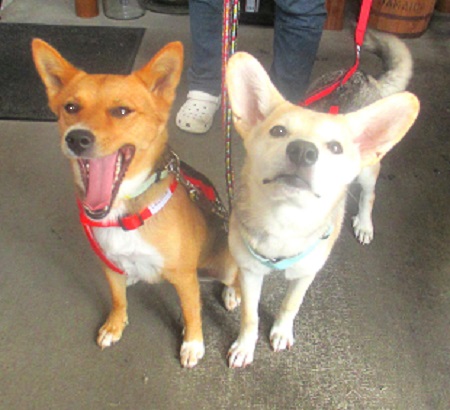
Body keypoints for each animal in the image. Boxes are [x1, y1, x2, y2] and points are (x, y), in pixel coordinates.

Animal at [32, 39, 240, 368]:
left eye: (121, 111)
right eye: (71, 107)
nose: (76, 138)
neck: (124, 212)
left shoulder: (184, 278)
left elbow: (192, 312)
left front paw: (192, 344)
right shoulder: (108, 264)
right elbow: (117, 299)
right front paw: (114, 325)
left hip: (226, 260)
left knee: (236, 277)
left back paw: (233, 294)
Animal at [225, 31, 420, 368]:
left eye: (336, 148)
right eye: (278, 131)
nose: (303, 150)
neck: (285, 220)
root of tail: (362, 74)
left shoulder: (306, 274)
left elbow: (291, 304)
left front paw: (280, 331)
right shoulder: (250, 272)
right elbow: (250, 315)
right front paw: (245, 345)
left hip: (367, 172)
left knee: (369, 194)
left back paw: (365, 223)